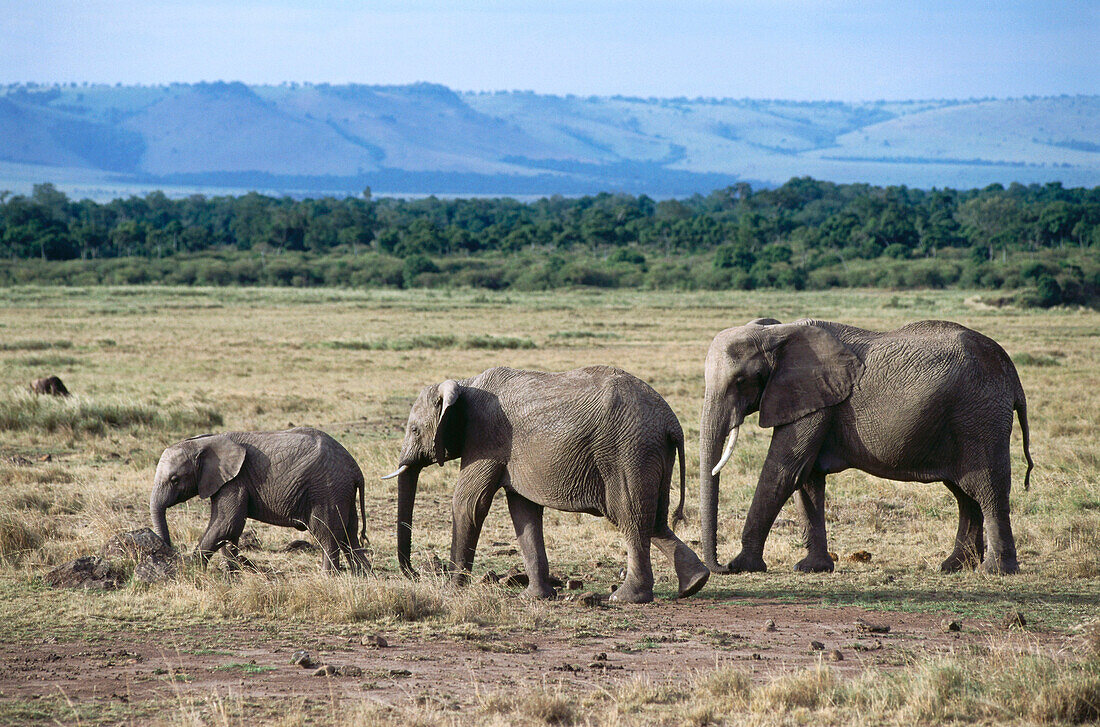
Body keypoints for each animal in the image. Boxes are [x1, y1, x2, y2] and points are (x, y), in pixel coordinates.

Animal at [150, 424, 369, 571]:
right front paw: (233, 577)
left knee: (327, 534)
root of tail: (355, 469)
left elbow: (226, 523)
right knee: (349, 535)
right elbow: (227, 529)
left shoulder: (235, 481)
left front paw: (190, 571)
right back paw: (362, 577)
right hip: (342, 492)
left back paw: (328, 577)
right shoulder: (225, 481)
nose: (168, 551)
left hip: (326, 490)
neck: (204, 441)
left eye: (175, 479)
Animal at [385, 362, 712, 602]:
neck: (465, 384)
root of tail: (671, 422)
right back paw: (694, 583)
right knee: (653, 520)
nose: (415, 574)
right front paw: (536, 597)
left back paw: (626, 598)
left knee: (629, 516)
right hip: (652, 452)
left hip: (628, 451)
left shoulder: (485, 438)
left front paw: (451, 590)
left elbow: (469, 503)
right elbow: (524, 512)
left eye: (414, 430)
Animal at [699, 321, 1034, 576]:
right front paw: (812, 568)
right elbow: (807, 479)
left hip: (980, 417)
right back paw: (954, 567)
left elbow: (785, 471)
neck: (777, 333)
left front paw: (744, 565)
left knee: (986, 488)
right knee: (965, 494)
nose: (721, 567)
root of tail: (1014, 378)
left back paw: (994, 571)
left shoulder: (814, 402)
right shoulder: (813, 398)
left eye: (740, 380)